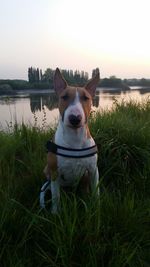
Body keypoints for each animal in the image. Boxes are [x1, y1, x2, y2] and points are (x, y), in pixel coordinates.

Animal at [40, 68, 100, 214]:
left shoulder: (93, 170)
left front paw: (96, 207)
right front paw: (55, 213)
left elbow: (96, 191)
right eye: (64, 97)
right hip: (47, 170)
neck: (75, 139)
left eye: (86, 98)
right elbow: (56, 196)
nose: (75, 118)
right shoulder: (54, 172)